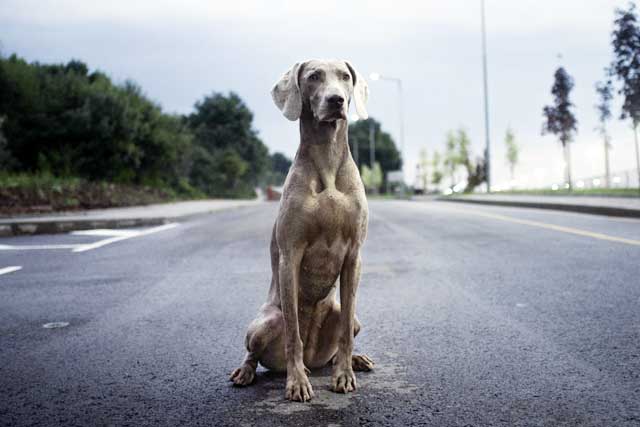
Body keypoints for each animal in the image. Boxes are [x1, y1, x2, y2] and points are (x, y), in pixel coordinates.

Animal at [230, 59, 372, 402]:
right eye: (313, 77)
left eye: (345, 77)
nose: (336, 100)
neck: (328, 163)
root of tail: (313, 359)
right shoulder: (290, 255)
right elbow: (294, 332)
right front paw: (296, 383)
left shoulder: (354, 255)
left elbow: (346, 332)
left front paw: (344, 375)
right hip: (264, 322)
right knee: (255, 350)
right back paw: (247, 372)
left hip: (347, 317)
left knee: (345, 330)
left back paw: (353, 360)